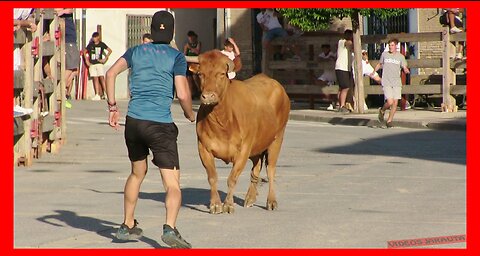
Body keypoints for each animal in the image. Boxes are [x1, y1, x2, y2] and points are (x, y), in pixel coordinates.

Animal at [194, 50, 288, 214]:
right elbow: (212, 177)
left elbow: (232, 178)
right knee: (256, 168)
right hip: (258, 145)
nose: (208, 96)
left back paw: (271, 201)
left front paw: (228, 204)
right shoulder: (203, 148)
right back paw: (250, 198)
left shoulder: (244, 149)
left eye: (222, 74)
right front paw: (215, 204)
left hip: (277, 139)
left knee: (270, 170)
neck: (222, 121)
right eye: (200, 74)